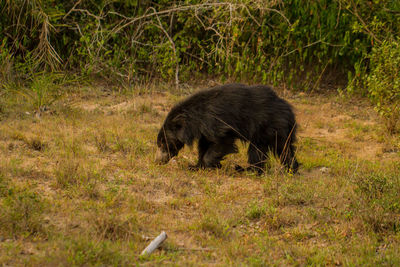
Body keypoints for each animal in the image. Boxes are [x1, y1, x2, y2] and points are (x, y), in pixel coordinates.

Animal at [155, 85, 298, 175]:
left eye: (163, 144)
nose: (157, 161)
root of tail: (288, 108)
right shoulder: (205, 130)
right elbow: (204, 146)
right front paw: (195, 166)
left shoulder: (219, 124)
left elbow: (222, 142)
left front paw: (212, 165)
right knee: (282, 149)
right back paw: (290, 169)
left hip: (268, 126)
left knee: (262, 150)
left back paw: (246, 169)